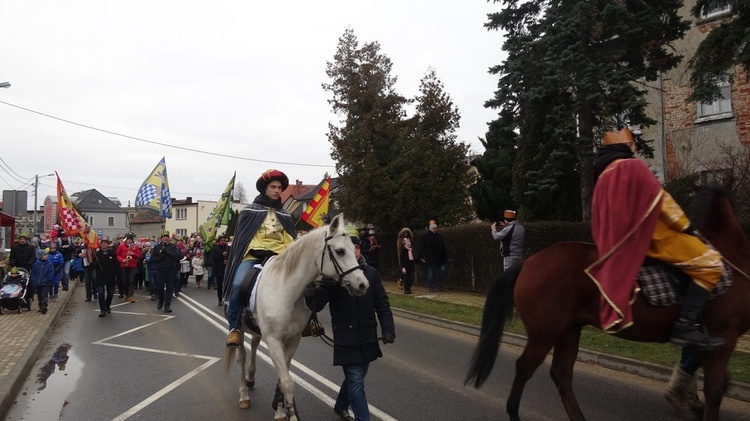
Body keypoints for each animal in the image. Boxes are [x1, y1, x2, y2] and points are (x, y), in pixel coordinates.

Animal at [223, 215, 370, 418]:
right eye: (340, 251)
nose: (363, 285)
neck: (286, 292)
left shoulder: (293, 340)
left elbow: (282, 377)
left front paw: (279, 408)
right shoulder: (274, 341)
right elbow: (287, 381)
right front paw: (289, 414)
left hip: (256, 330)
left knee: (253, 346)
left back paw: (251, 378)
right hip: (239, 329)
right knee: (241, 358)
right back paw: (244, 395)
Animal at [464, 185, 750, 418]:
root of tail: (528, 262)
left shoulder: (711, 340)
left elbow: (710, 379)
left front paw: (685, 399)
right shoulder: (723, 337)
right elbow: (715, 389)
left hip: (568, 330)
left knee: (561, 373)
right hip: (545, 332)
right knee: (526, 367)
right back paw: (514, 411)